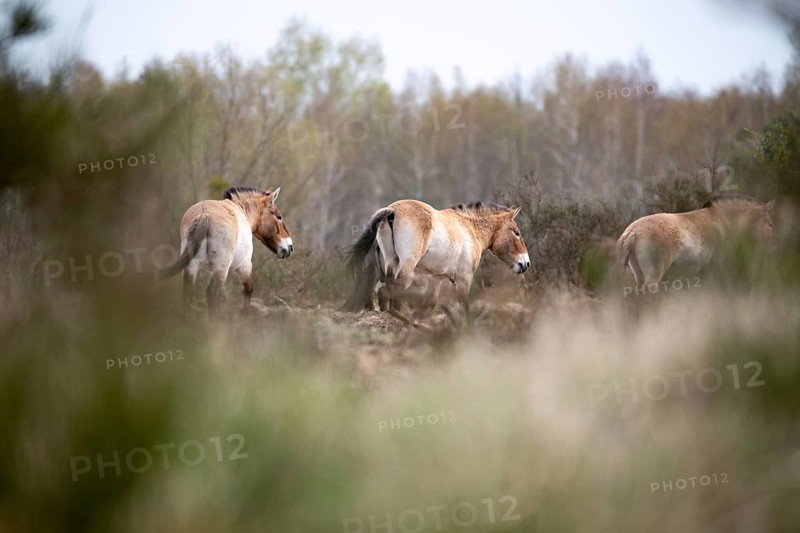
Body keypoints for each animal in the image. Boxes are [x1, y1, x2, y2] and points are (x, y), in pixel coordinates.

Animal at [159, 186, 293, 316]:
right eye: (279, 216)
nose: (289, 247)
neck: (242, 211)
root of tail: (204, 216)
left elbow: (223, 298)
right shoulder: (244, 266)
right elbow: (248, 290)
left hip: (193, 265)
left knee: (188, 293)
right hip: (221, 268)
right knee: (211, 292)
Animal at [342, 199, 530, 325]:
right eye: (517, 233)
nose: (526, 264)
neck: (468, 228)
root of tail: (392, 210)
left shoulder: (437, 278)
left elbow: (430, 301)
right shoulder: (464, 278)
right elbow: (464, 305)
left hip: (387, 268)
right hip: (405, 271)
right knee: (387, 293)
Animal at [617, 194, 774, 289]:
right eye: (770, 224)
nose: (772, 246)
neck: (725, 222)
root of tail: (633, 231)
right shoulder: (720, 268)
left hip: (639, 275)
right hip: (653, 277)